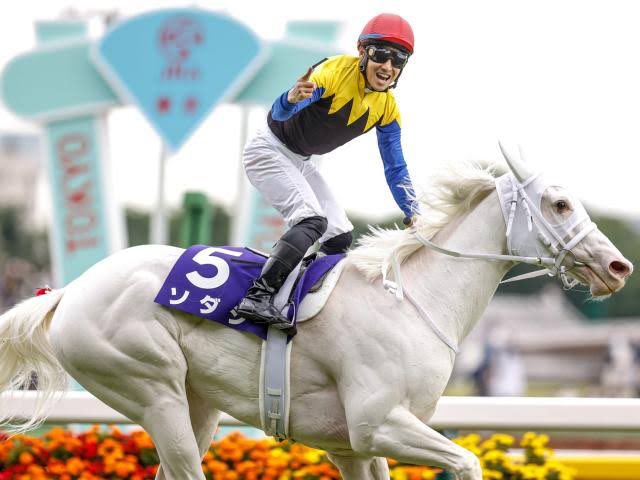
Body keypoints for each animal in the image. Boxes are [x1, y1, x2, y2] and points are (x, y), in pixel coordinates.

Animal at [0, 147, 633, 480]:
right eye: (559, 203)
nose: (618, 265)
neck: (413, 301)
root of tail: (70, 291)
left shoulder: (352, 444)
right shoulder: (377, 423)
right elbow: (467, 463)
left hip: (196, 405)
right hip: (151, 389)